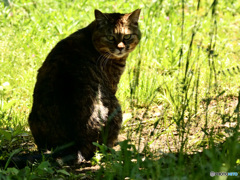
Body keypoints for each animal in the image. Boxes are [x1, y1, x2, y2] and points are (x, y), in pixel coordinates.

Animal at [28, 8, 142, 163]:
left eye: (127, 36)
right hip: (116, 107)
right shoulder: (112, 86)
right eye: (110, 37)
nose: (120, 48)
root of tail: (75, 146)